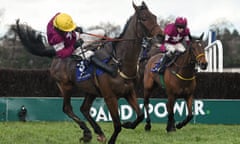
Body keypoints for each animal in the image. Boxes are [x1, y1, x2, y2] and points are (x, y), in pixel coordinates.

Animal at [14, 1, 162, 144]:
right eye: (144, 18)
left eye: (154, 16)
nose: (160, 35)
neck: (119, 63)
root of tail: (56, 56)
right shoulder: (110, 96)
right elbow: (117, 125)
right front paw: (113, 137)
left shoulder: (129, 92)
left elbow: (140, 115)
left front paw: (129, 124)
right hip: (65, 86)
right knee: (67, 108)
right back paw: (87, 132)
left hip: (91, 90)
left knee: (84, 109)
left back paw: (98, 132)